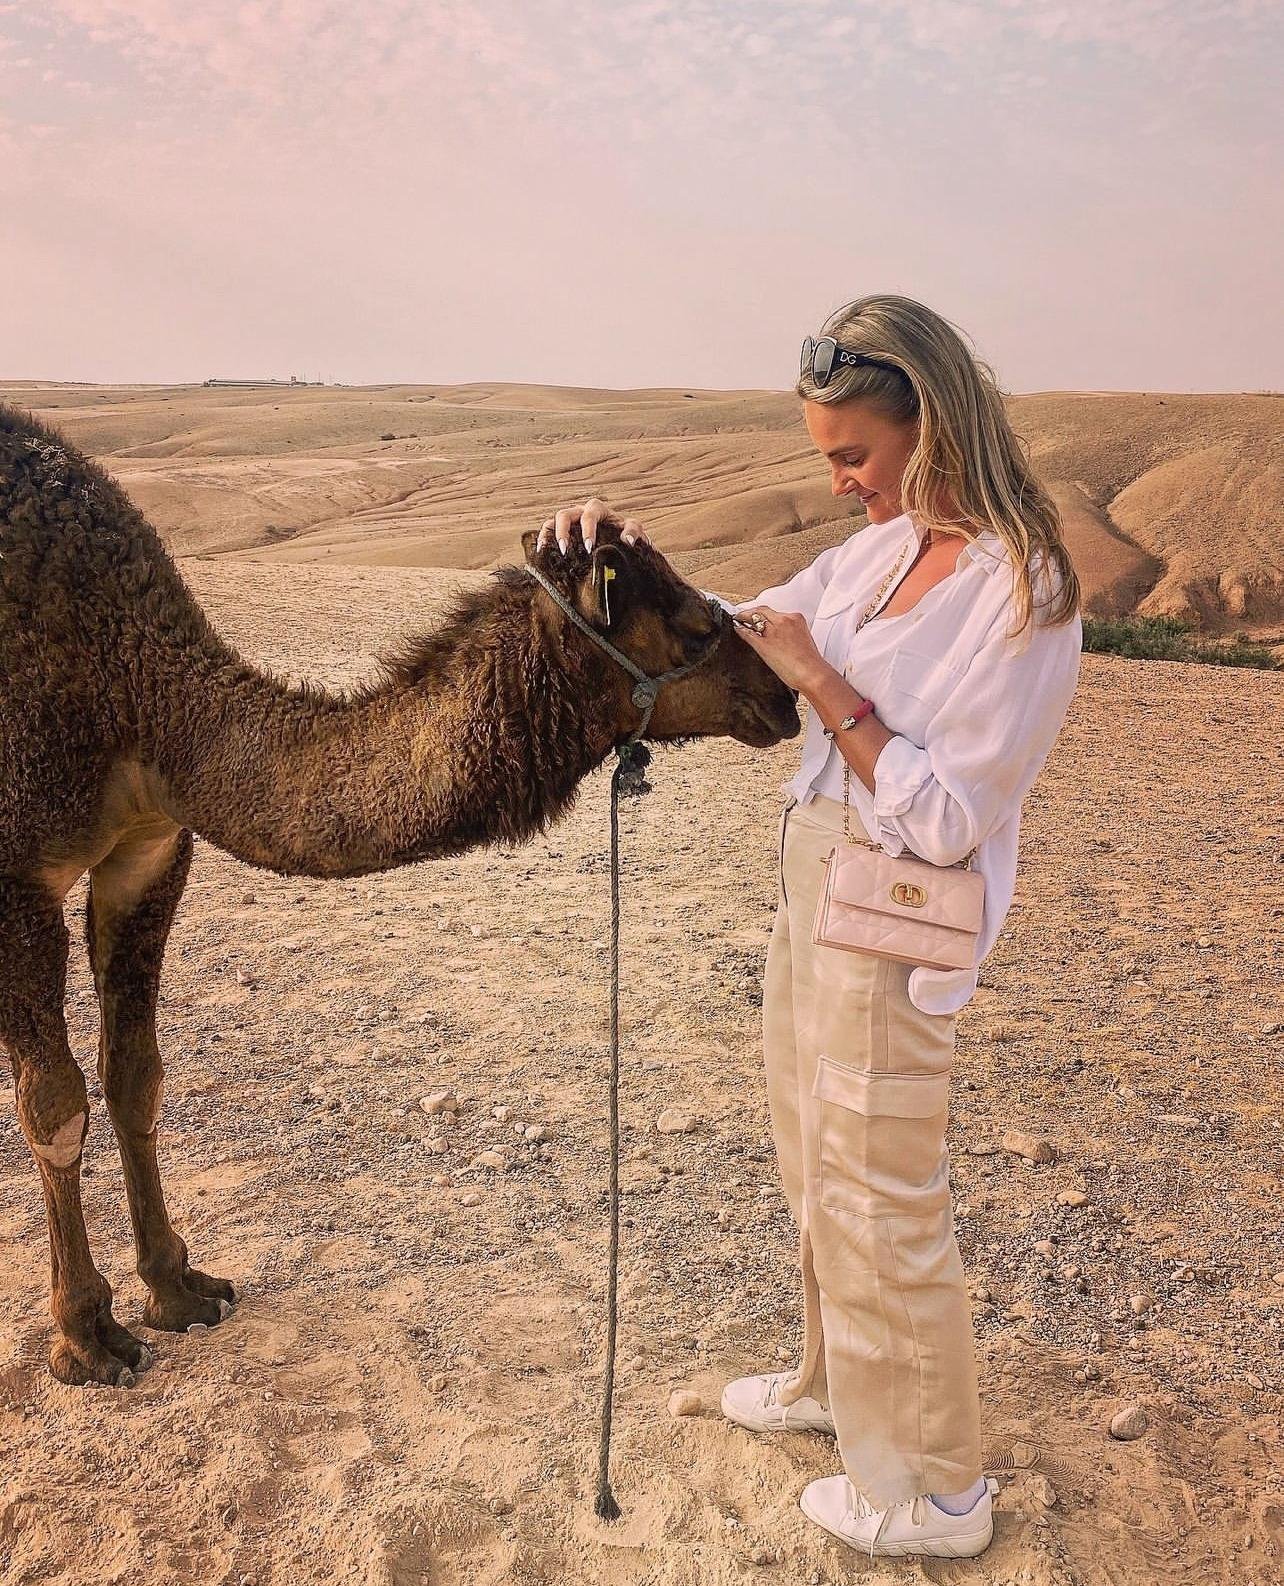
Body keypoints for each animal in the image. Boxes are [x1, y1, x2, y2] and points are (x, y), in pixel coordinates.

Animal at [0, 404, 799, 1388]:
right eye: (688, 624)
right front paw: (86, 1334)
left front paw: (177, 1287)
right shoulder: (16, 875)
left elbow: (135, 1075)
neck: (139, 697)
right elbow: (55, 1104)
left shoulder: (151, 847)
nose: (785, 697)